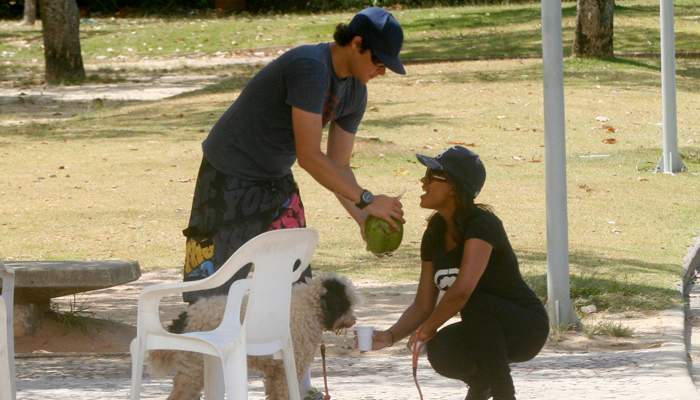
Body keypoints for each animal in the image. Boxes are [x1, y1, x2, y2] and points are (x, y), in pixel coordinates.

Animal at [145, 274, 358, 400]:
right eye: (346, 303)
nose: (353, 320)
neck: (309, 307)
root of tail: (186, 316)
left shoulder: (275, 372)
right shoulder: (288, 369)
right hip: (194, 369)